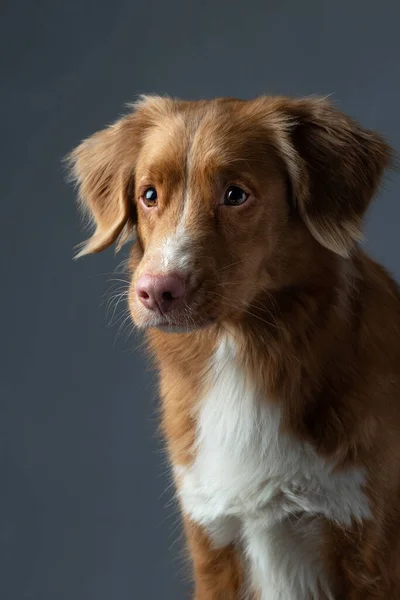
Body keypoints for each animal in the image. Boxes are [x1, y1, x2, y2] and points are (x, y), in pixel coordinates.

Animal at [69, 96, 400, 596]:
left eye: (235, 195)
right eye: (149, 195)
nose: (156, 291)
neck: (242, 350)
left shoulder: (370, 549)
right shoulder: (212, 541)